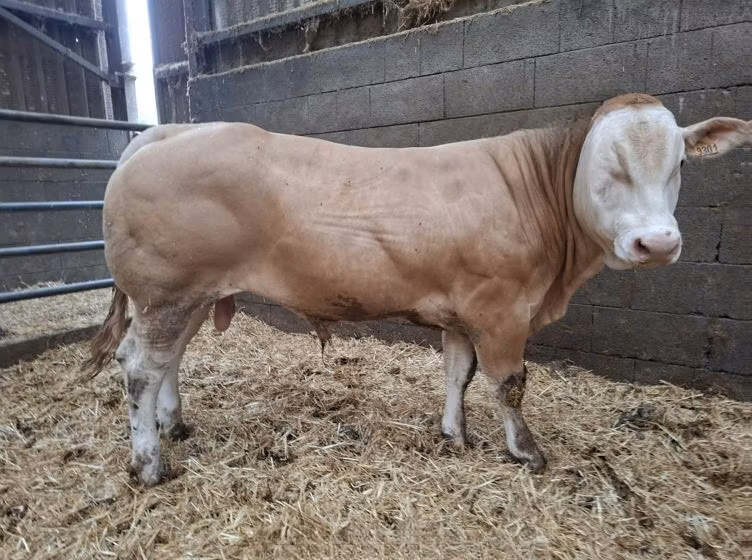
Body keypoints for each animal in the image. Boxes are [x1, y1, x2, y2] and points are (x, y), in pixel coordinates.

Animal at [86, 93, 749, 486]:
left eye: (680, 164)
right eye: (608, 167)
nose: (656, 244)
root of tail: (167, 132)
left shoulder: (463, 309)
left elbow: (458, 372)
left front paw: (454, 433)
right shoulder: (502, 309)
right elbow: (509, 384)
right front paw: (526, 452)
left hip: (185, 297)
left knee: (166, 363)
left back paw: (173, 426)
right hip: (169, 294)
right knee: (140, 369)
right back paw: (149, 463)